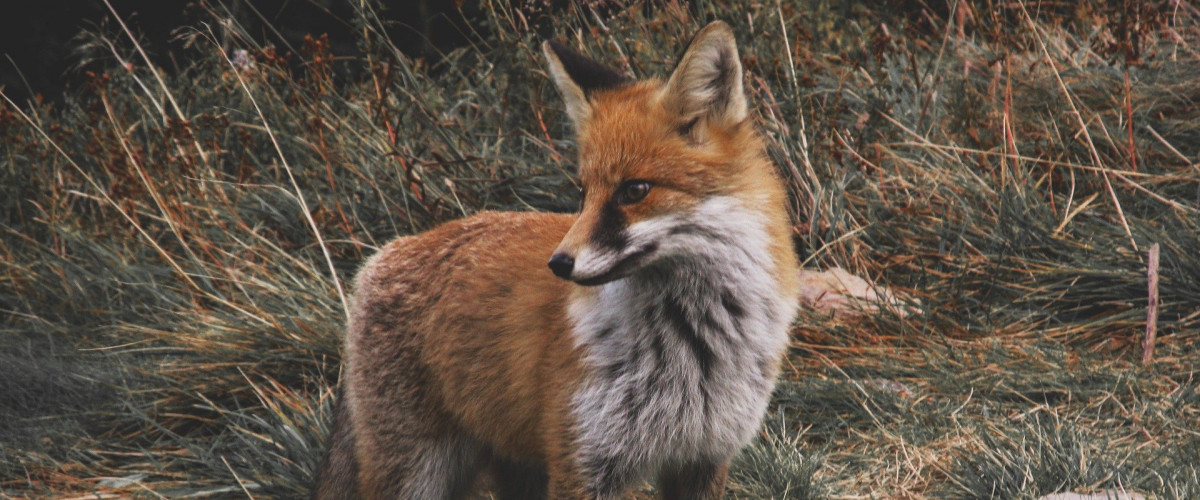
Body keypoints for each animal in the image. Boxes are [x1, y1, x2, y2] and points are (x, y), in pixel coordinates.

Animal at [314, 21, 801, 498]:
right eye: (583, 193)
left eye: (635, 190)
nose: (559, 264)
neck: (691, 346)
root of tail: (385, 254)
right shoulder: (583, 462)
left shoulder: (703, 459)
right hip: (418, 474)